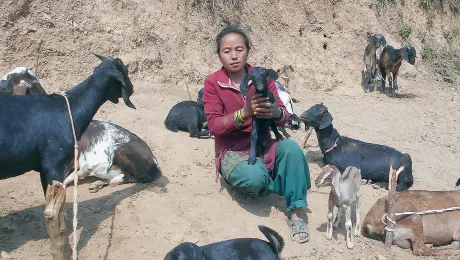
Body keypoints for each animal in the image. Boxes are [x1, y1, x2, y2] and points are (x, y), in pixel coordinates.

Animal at [0, 52, 136, 258]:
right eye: (126, 72)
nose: (133, 89)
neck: (69, 110)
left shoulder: (44, 169)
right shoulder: (54, 165)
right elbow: (56, 214)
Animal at [0, 65, 162, 193]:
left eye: (12, 80)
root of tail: (153, 160)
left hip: (120, 150)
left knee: (142, 177)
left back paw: (115, 180)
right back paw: (97, 184)